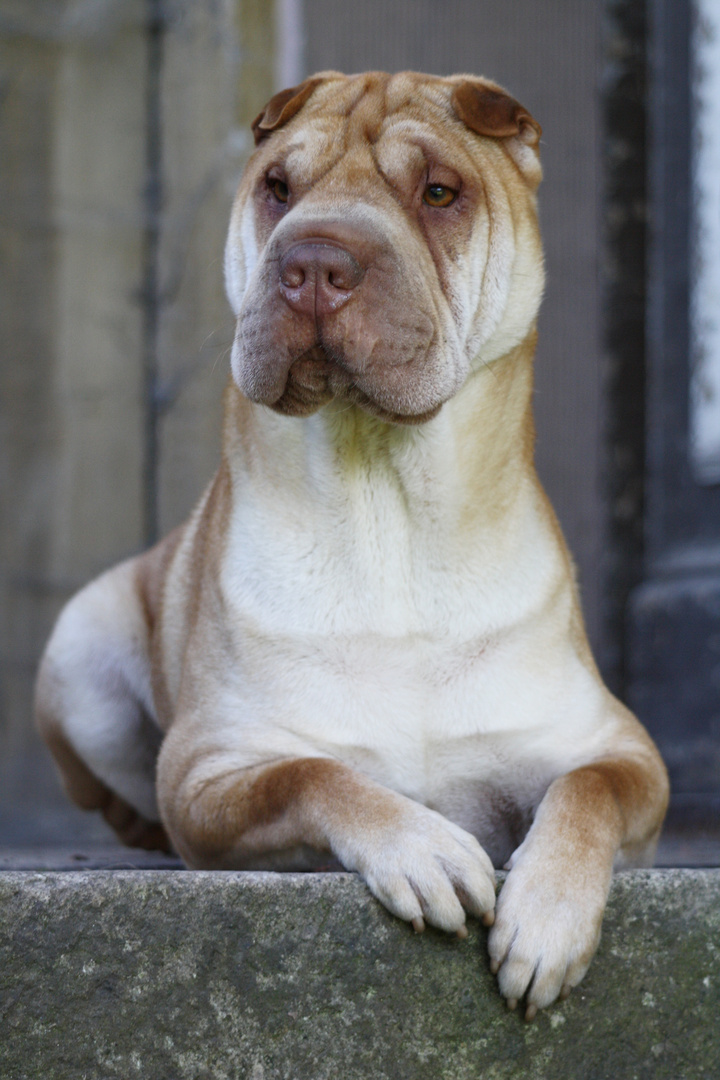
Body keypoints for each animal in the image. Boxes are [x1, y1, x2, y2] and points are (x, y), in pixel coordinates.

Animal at [36, 73, 669, 1019]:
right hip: (83, 644)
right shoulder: (209, 774)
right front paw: (421, 847)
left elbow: (588, 789)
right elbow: (311, 775)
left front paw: (548, 915)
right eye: (278, 188)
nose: (313, 265)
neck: (389, 514)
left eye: (439, 192)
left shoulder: (623, 750)